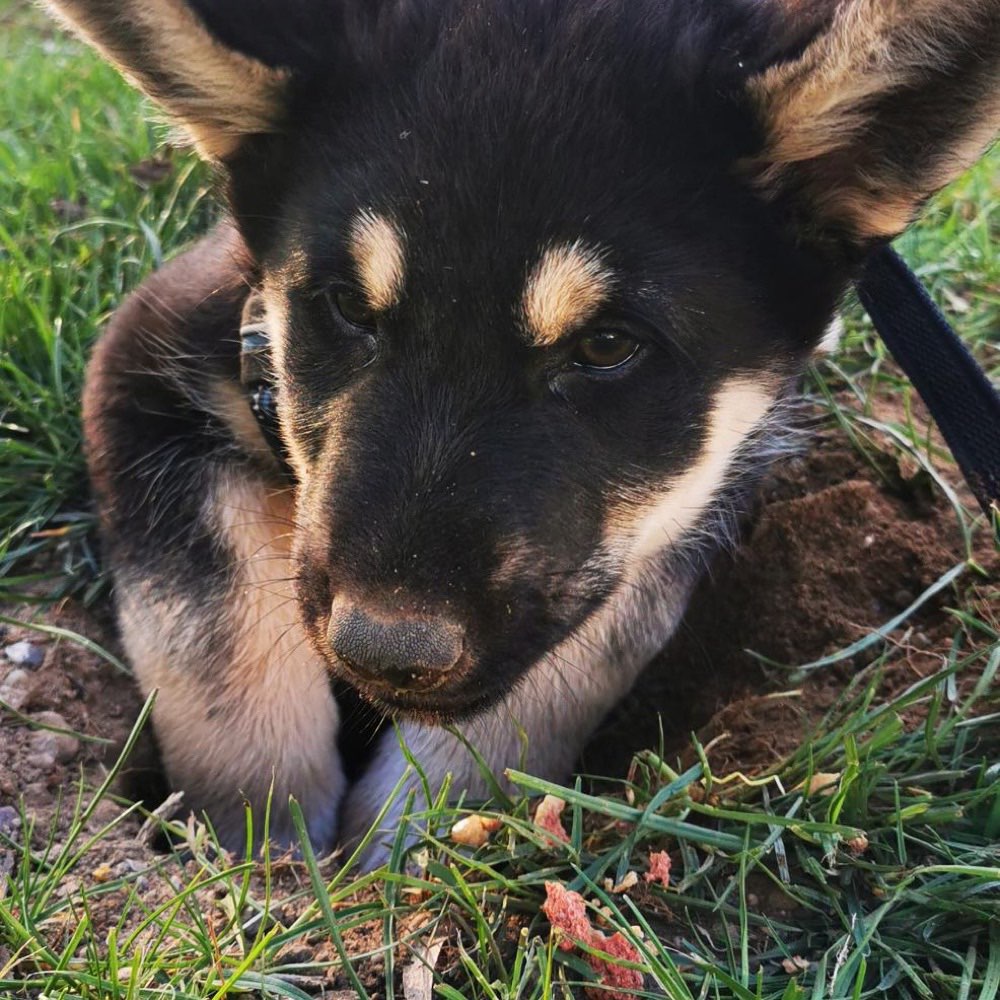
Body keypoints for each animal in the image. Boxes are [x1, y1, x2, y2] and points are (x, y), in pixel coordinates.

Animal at [48, 0, 1000, 864]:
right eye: (347, 306)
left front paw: (418, 828)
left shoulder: (711, 476)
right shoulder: (146, 354)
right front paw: (258, 838)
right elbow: (210, 624)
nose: (387, 653)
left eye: (608, 347)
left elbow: (584, 650)